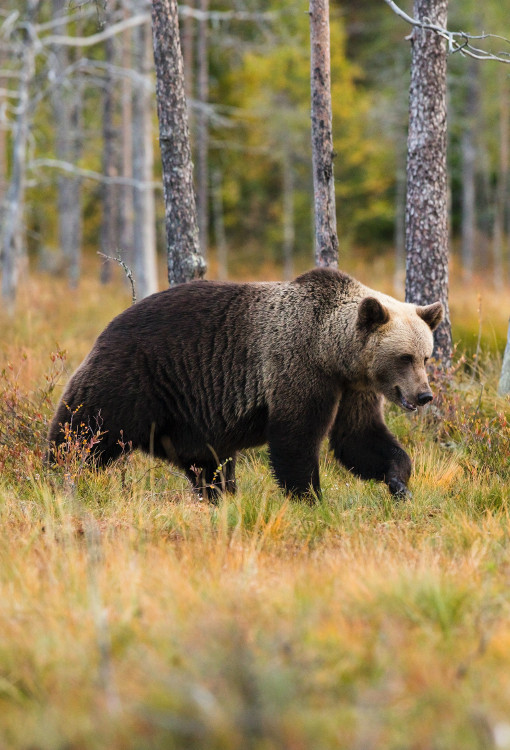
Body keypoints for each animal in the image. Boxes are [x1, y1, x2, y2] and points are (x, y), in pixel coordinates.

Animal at [47, 268, 442, 500]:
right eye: (404, 357)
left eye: (425, 356)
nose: (424, 395)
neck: (332, 353)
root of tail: (108, 326)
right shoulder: (297, 367)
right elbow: (295, 439)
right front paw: (310, 497)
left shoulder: (353, 389)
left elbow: (359, 438)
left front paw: (399, 482)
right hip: (133, 378)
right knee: (83, 431)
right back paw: (57, 475)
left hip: (187, 417)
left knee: (207, 464)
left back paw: (218, 495)